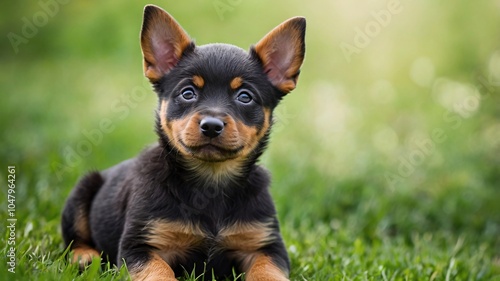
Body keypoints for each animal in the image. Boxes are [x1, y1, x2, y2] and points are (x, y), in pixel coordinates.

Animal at [61, 4, 304, 280]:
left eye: (245, 96)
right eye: (188, 93)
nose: (211, 126)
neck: (211, 181)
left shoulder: (265, 245)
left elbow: (267, 272)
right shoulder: (141, 245)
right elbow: (160, 272)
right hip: (81, 192)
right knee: (74, 239)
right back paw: (85, 256)